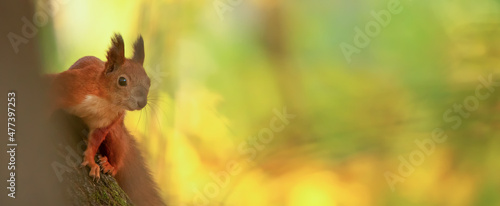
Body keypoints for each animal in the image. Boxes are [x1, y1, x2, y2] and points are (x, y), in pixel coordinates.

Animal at [47, 34, 164, 205]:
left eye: (148, 82)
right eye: (122, 81)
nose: (142, 103)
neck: (107, 100)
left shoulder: (108, 121)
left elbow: (96, 139)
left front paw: (91, 161)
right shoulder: (72, 84)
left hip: (116, 132)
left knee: (120, 149)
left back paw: (110, 165)